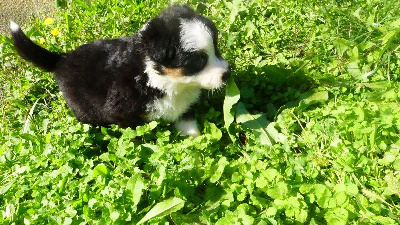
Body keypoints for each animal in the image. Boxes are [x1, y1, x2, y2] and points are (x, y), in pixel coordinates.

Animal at [10, 4, 228, 135]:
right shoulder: (123, 116)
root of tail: (61, 58)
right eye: (198, 61)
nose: (227, 74)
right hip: (84, 109)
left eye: (216, 48)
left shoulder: (183, 107)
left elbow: (190, 129)